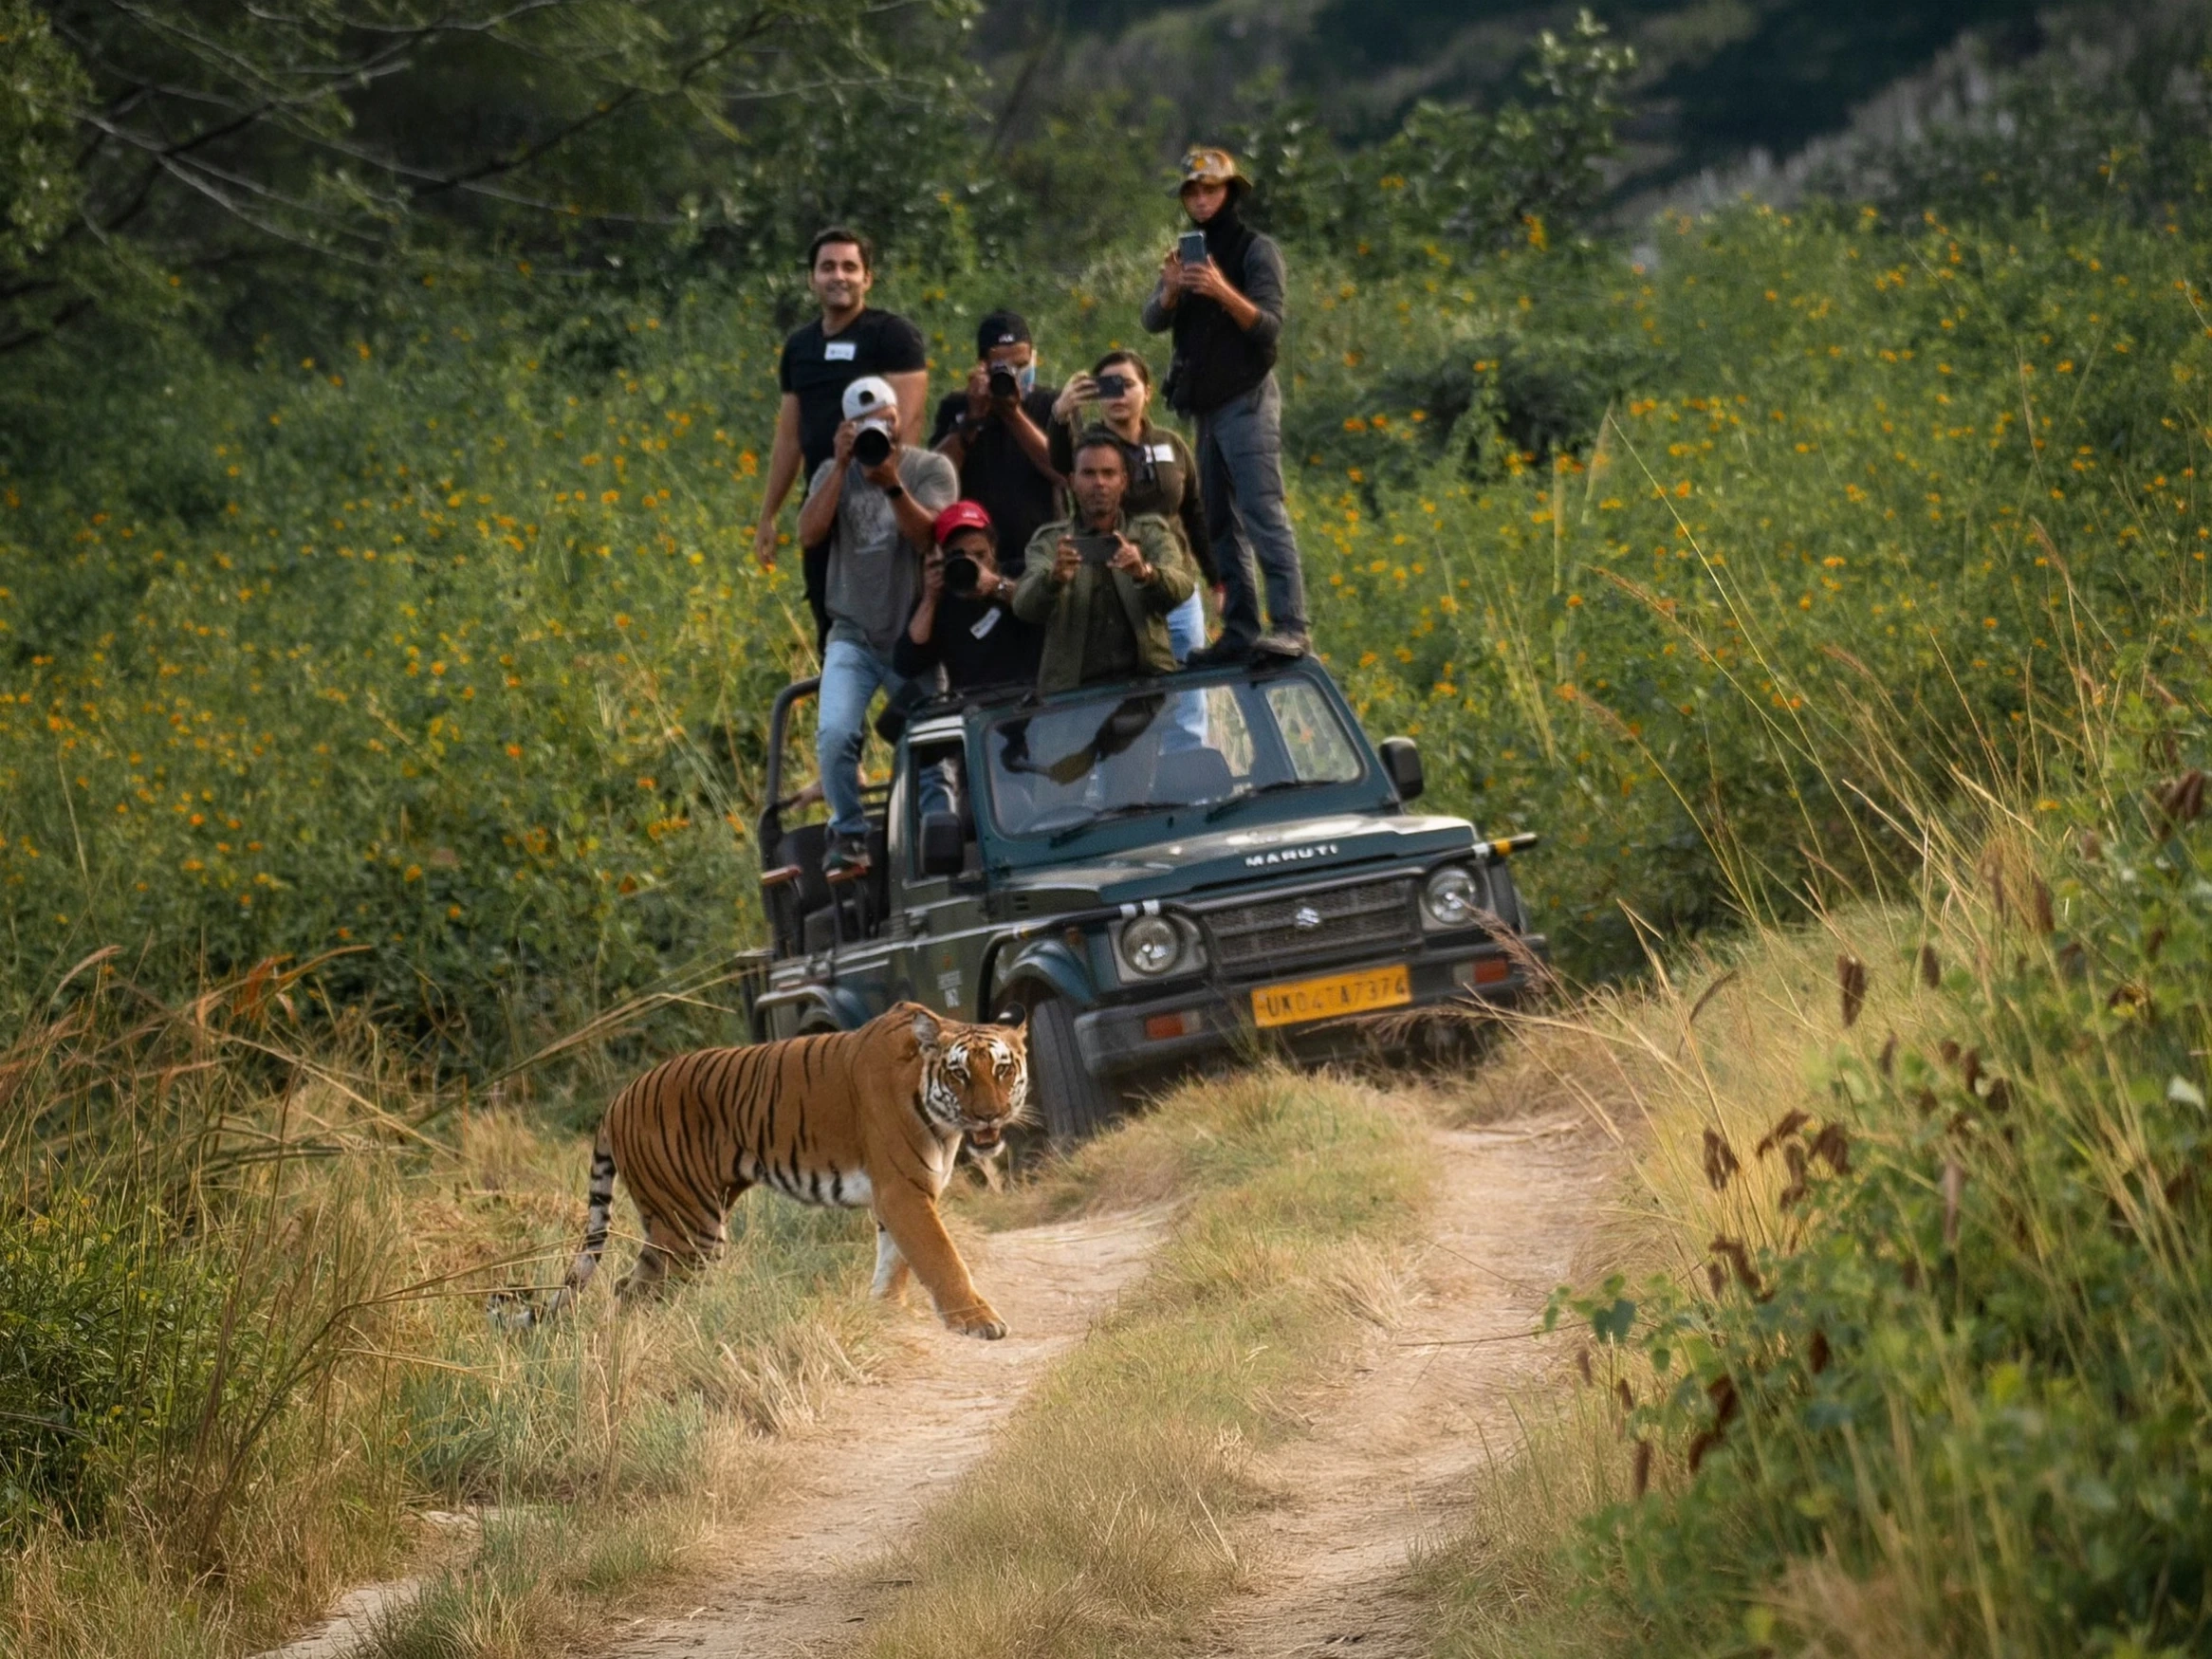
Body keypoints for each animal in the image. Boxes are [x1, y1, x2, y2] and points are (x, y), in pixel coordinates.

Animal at [492, 1003, 1031, 1339]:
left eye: (1003, 1070)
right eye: (959, 1073)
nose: (990, 1116)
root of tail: (617, 1099)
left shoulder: (900, 1195)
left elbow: (894, 1262)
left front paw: (885, 1315)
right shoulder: (903, 1190)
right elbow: (941, 1258)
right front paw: (977, 1322)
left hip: (681, 1220)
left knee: (629, 1288)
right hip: (692, 1226)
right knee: (636, 1288)